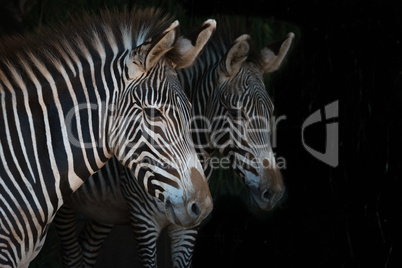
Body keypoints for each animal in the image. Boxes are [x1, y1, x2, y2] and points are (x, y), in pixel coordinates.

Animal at [55, 21, 296, 268]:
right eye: (236, 113)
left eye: (271, 111)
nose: (275, 193)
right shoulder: (143, 221)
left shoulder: (187, 227)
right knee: (72, 252)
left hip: (104, 209)